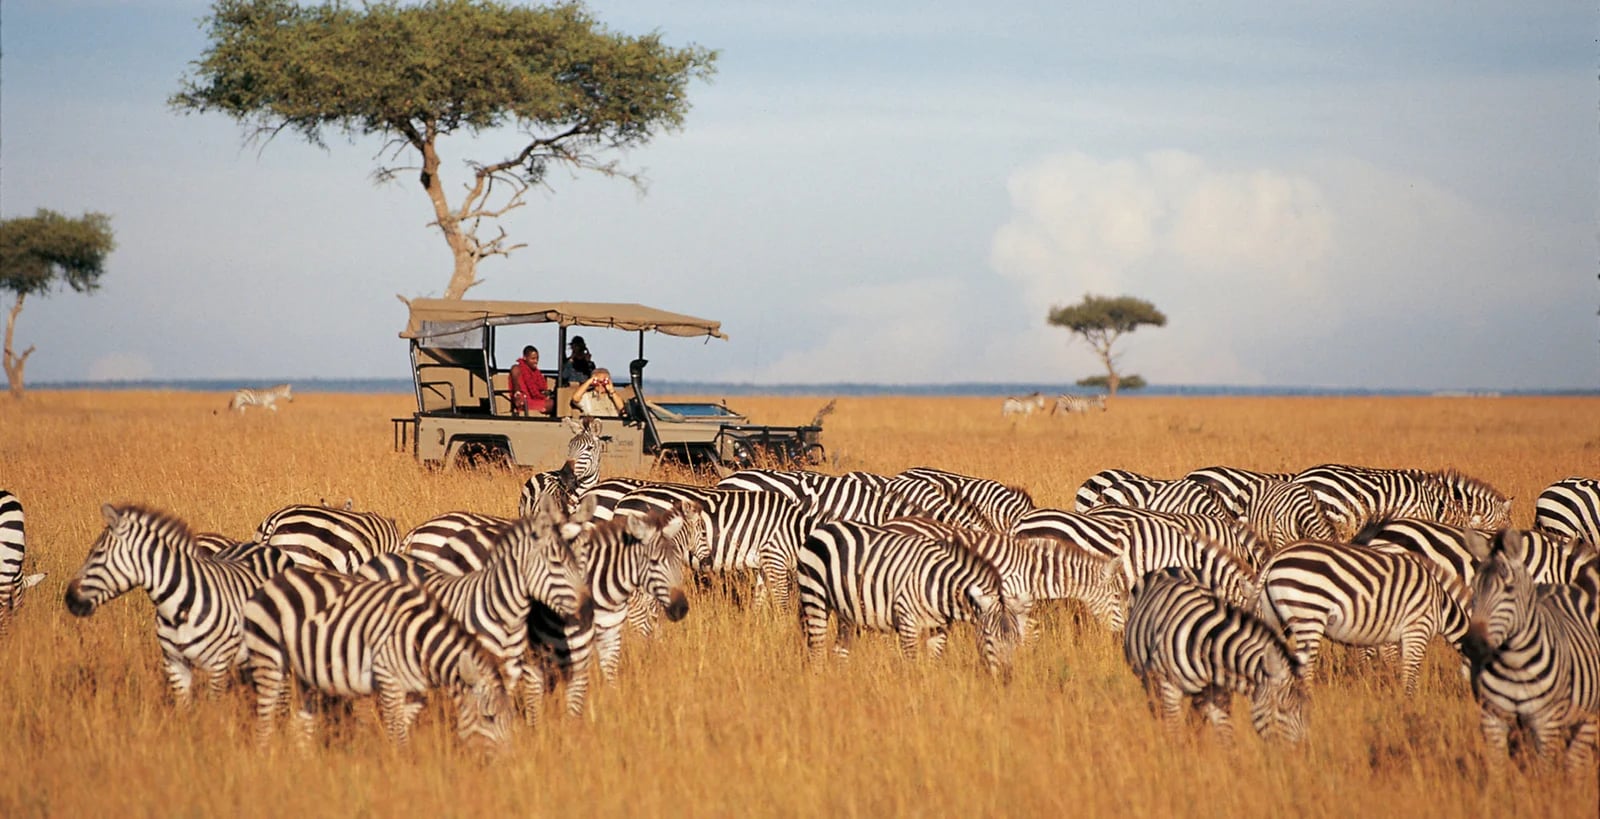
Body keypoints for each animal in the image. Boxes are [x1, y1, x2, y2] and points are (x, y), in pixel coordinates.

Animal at [243, 567, 514, 749]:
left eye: (508, 718)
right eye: (489, 718)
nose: (507, 763)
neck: (420, 641)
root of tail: (274, 580)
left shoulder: (415, 693)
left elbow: (401, 729)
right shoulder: (388, 679)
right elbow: (397, 734)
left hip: (305, 673)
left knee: (300, 725)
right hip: (268, 656)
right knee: (264, 722)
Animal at [797, 519, 1027, 681]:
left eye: (1016, 639)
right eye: (988, 636)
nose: (1007, 678)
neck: (939, 584)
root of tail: (824, 527)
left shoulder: (938, 628)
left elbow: (933, 663)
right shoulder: (907, 621)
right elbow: (912, 665)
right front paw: (914, 692)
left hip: (846, 608)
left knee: (840, 650)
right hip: (814, 596)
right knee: (816, 650)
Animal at [1122, 567, 1309, 746]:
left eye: (1306, 710)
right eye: (1282, 709)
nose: (1302, 750)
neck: (1205, 645)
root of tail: (1170, 567)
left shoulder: (1218, 693)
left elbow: (1226, 737)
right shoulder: (1169, 688)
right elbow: (1173, 732)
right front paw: (1175, 754)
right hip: (1148, 680)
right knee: (1158, 711)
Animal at [1256, 540, 1470, 695]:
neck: (1441, 603)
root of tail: (1277, 555)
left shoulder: (1387, 633)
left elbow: (1392, 664)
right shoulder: (1417, 628)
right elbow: (1410, 671)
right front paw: (1408, 702)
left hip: (1275, 618)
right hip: (1309, 615)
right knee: (1305, 667)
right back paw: (1309, 700)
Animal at [1463, 528, 1600, 775]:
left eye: (1509, 590)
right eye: (1473, 588)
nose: (1472, 645)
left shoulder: (1547, 722)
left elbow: (1544, 772)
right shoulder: (1492, 718)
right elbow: (1498, 771)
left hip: (1586, 716)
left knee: (1574, 761)